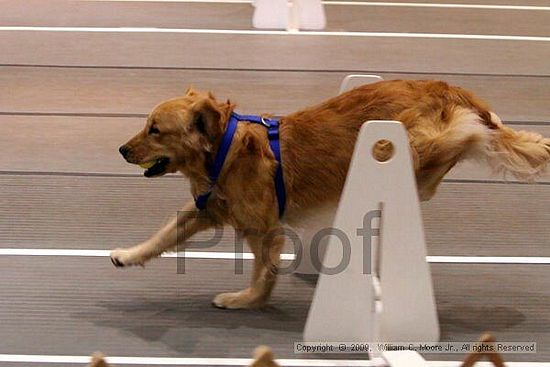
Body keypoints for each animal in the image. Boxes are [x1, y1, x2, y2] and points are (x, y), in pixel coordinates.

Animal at [112, 81, 550, 310]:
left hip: (412, 145)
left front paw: (245, 299)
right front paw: (128, 255)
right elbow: (163, 235)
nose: (122, 149)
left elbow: (263, 273)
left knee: (467, 135)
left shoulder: (264, 230)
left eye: (154, 130)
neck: (223, 151)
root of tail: (450, 90)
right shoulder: (205, 210)